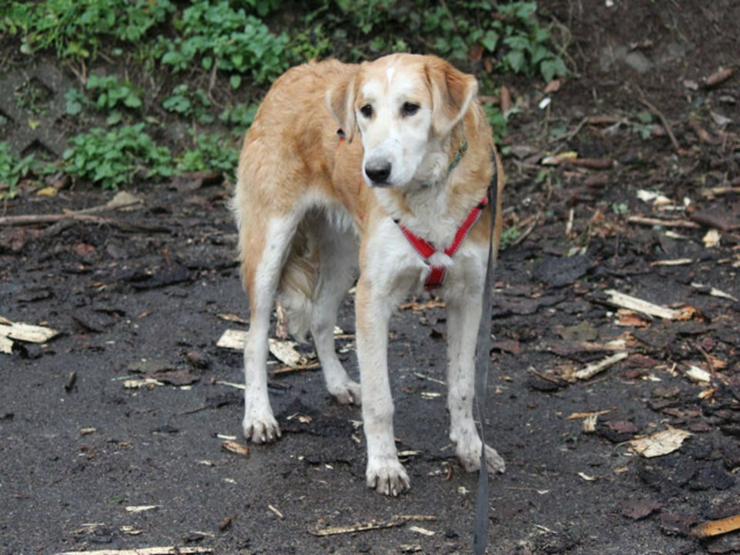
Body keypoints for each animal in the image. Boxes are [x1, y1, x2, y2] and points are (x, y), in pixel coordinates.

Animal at [234, 53, 506, 496]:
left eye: (411, 108)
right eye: (366, 110)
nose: (375, 171)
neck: (426, 191)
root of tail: (293, 73)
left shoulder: (469, 297)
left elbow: (463, 386)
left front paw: (471, 449)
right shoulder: (373, 298)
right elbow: (381, 400)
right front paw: (384, 465)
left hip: (344, 257)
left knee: (321, 318)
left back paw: (338, 384)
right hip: (270, 246)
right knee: (254, 339)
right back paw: (259, 415)